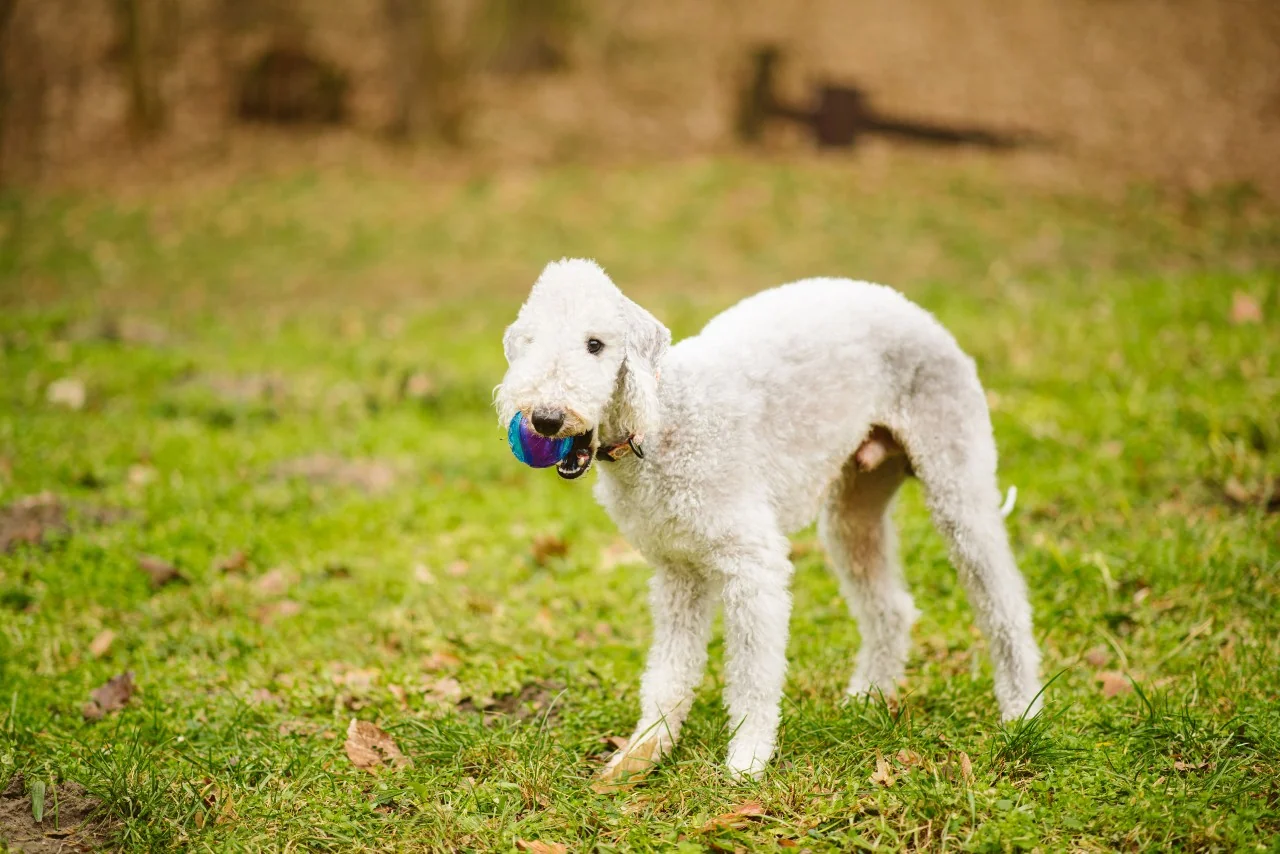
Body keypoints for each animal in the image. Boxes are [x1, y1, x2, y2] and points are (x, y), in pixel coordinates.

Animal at [494, 258, 1044, 783]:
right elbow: (669, 672)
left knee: (1004, 604)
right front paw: (643, 753)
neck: (663, 420)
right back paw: (868, 697)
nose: (545, 418)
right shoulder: (677, 571)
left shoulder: (752, 563)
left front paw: (748, 760)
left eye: (596, 345)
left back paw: (1022, 711)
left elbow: (753, 672)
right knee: (891, 608)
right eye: (530, 342)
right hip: (852, 509)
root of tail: (913, 308)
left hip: (956, 481)